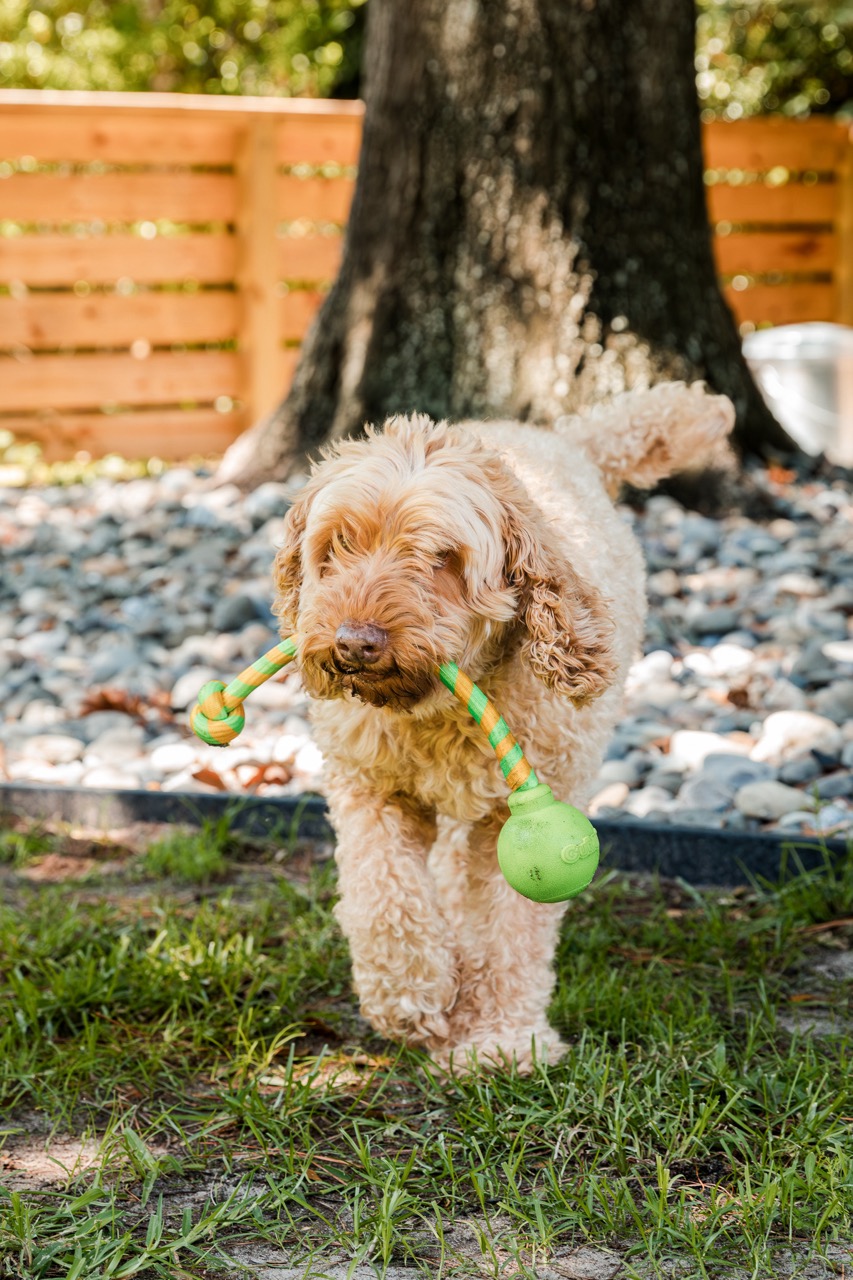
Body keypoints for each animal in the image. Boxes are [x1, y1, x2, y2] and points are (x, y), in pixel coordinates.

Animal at [273, 383, 734, 1071]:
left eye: (442, 557)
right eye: (337, 546)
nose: (355, 643)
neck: (437, 716)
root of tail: (565, 440)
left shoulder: (523, 814)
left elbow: (512, 925)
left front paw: (500, 1039)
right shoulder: (369, 787)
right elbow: (383, 895)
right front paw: (411, 997)